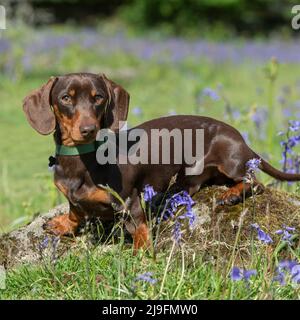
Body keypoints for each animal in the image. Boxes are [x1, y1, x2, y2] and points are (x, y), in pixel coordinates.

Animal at [23, 72, 300, 250]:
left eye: (98, 97)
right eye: (66, 98)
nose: (89, 129)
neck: (82, 162)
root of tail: (242, 141)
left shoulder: (129, 202)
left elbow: (140, 231)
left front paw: (143, 254)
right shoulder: (73, 197)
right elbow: (75, 210)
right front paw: (63, 224)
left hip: (230, 159)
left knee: (255, 182)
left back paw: (231, 194)